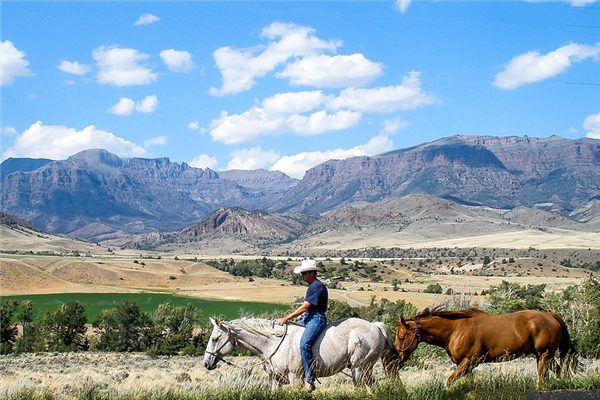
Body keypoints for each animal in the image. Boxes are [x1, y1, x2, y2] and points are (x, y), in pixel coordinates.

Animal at [203, 316, 398, 388]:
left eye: (215, 339)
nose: (206, 363)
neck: (273, 343)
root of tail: (376, 326)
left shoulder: (295, 377)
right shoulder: (276, 379)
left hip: (360, 368)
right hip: (365, 369)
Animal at [392, 306, 580, 384]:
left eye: (401, 337)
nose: (398, 357)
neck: (455, 330)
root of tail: (551, 316)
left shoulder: (469, 362)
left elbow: (450, 381)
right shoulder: (465, 365)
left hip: (544, 354)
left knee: (543, 375)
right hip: (543, 355)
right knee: (556, 371)